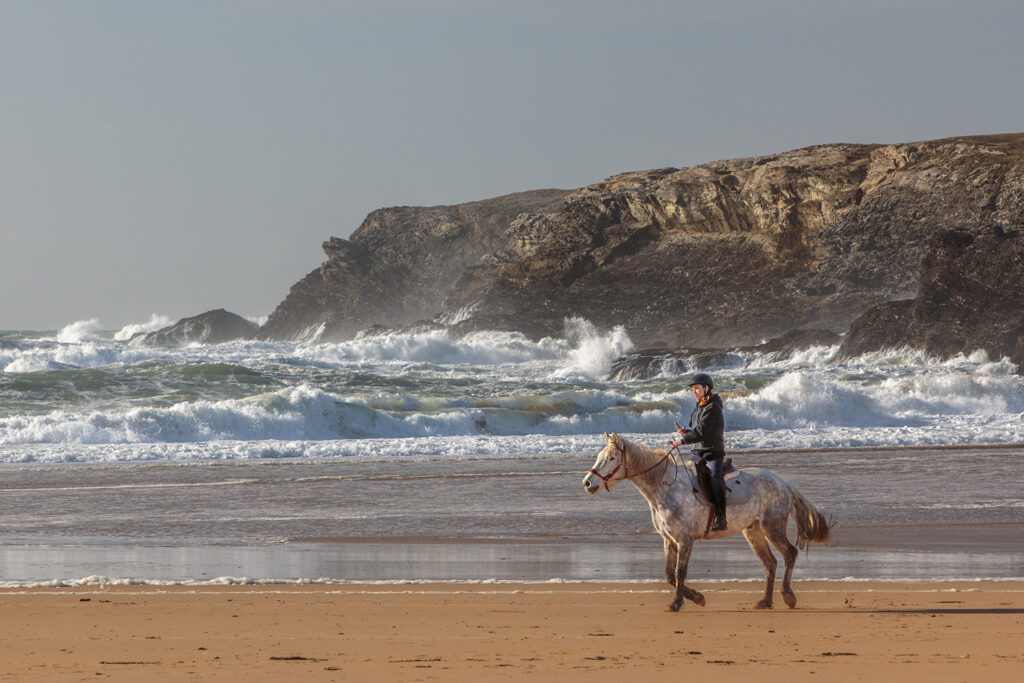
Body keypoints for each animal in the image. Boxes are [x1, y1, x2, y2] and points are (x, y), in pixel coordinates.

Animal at [582, 431, 831, 612]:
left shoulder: (685, 539)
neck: (665, 487)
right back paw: (765, 601)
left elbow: (680, 572)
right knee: (770, 563)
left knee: (789, 554)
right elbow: (669, 575)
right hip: (753, 532)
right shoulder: (669, 540)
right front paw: (697, 597)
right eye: (599, 457)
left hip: (773, 528)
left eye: (611, 458)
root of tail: (785, 485)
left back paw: (788, 596)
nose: (587, 483)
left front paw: (678, 603)